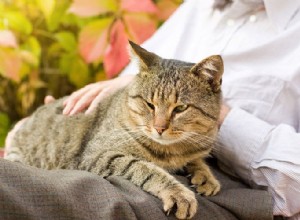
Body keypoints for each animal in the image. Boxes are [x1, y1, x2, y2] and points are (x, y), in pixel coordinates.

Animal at [5, 41, 224, 218]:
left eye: (180, 108)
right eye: (149, 104)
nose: (159, 128)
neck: (173, 150)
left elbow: (197, 160)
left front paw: (205, 176)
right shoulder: (97, 155)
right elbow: (144, 168)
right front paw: (178, 192)